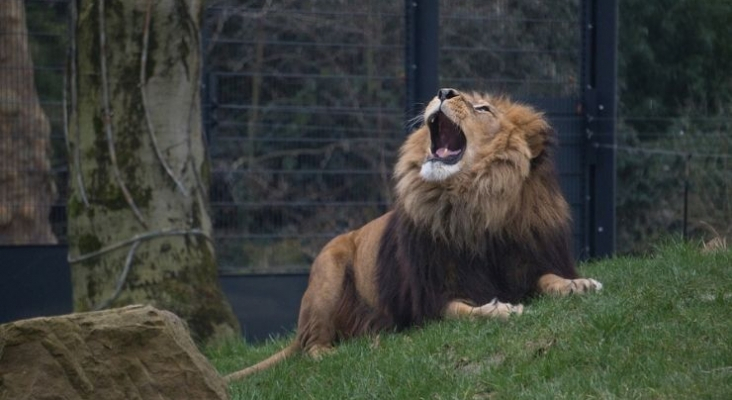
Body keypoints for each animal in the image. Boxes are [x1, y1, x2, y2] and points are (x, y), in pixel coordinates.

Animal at [226, 87, 604, 382]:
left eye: (483, 108)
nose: (444, 92)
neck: (476, 205)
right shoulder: (429, 298)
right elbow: (459, 311)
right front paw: (497, 310)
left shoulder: (529, 260)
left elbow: (547, 278)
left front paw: (577, 284)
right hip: (327, 272)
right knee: (311, 347)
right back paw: (346, 352)